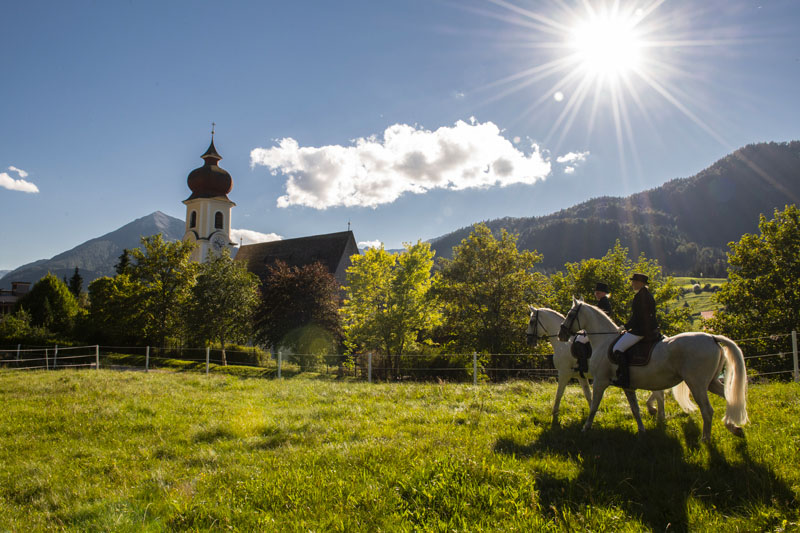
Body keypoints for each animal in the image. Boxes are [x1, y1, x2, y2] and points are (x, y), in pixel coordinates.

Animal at [524, 308, 692, 424]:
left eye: (532, 322)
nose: (529, 340)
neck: (564, 345)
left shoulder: (564, 373)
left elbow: (559, 394)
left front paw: (554, 414)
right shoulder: (580, 376)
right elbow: (588, 395)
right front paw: (593, 414)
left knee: (659, 393)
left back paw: (657, 414)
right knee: (659, 392)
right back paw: (655, 412)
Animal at [556, 298, 752, 438]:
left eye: (570, 314)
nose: (561, 334)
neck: (603, 341)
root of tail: (712, 338)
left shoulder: (599, 381)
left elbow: (594, 405)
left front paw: (585, 428)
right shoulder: (627, 385)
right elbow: (635, 409)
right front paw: (642, 430)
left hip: (697, 384)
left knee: (707, 410)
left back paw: (706, 439)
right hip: (711, 382)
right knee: (730, 398)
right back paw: (734, 428)